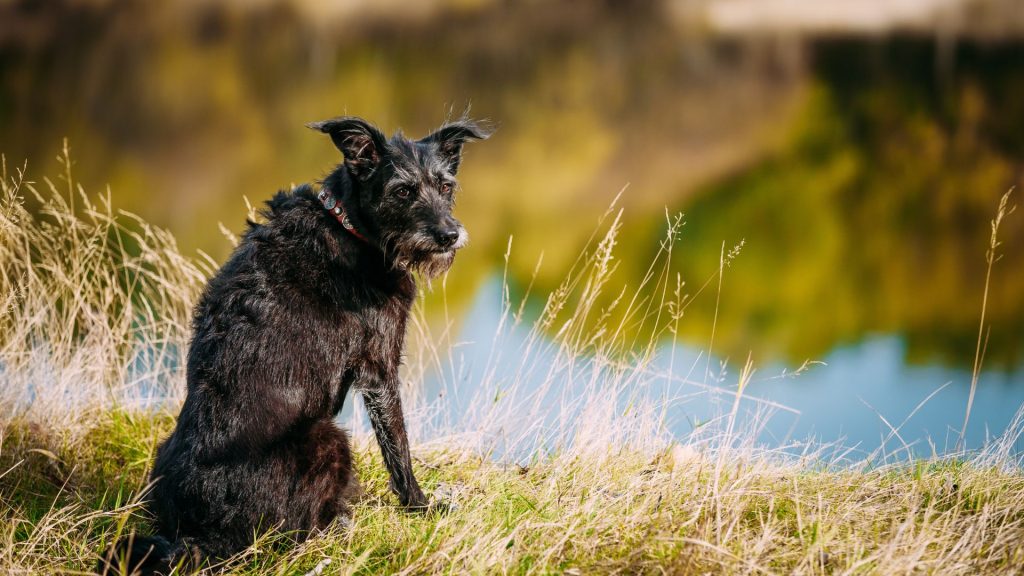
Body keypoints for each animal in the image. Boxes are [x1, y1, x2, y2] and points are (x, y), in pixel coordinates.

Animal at [97, 114, 489, 569]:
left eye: (446, 187)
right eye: (403, 191)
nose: (448, 235)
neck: (348, 224)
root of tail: (195, 535)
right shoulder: (379, 367)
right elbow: (398, 449)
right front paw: (421, 507)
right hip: (329, 438)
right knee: (297, 533)